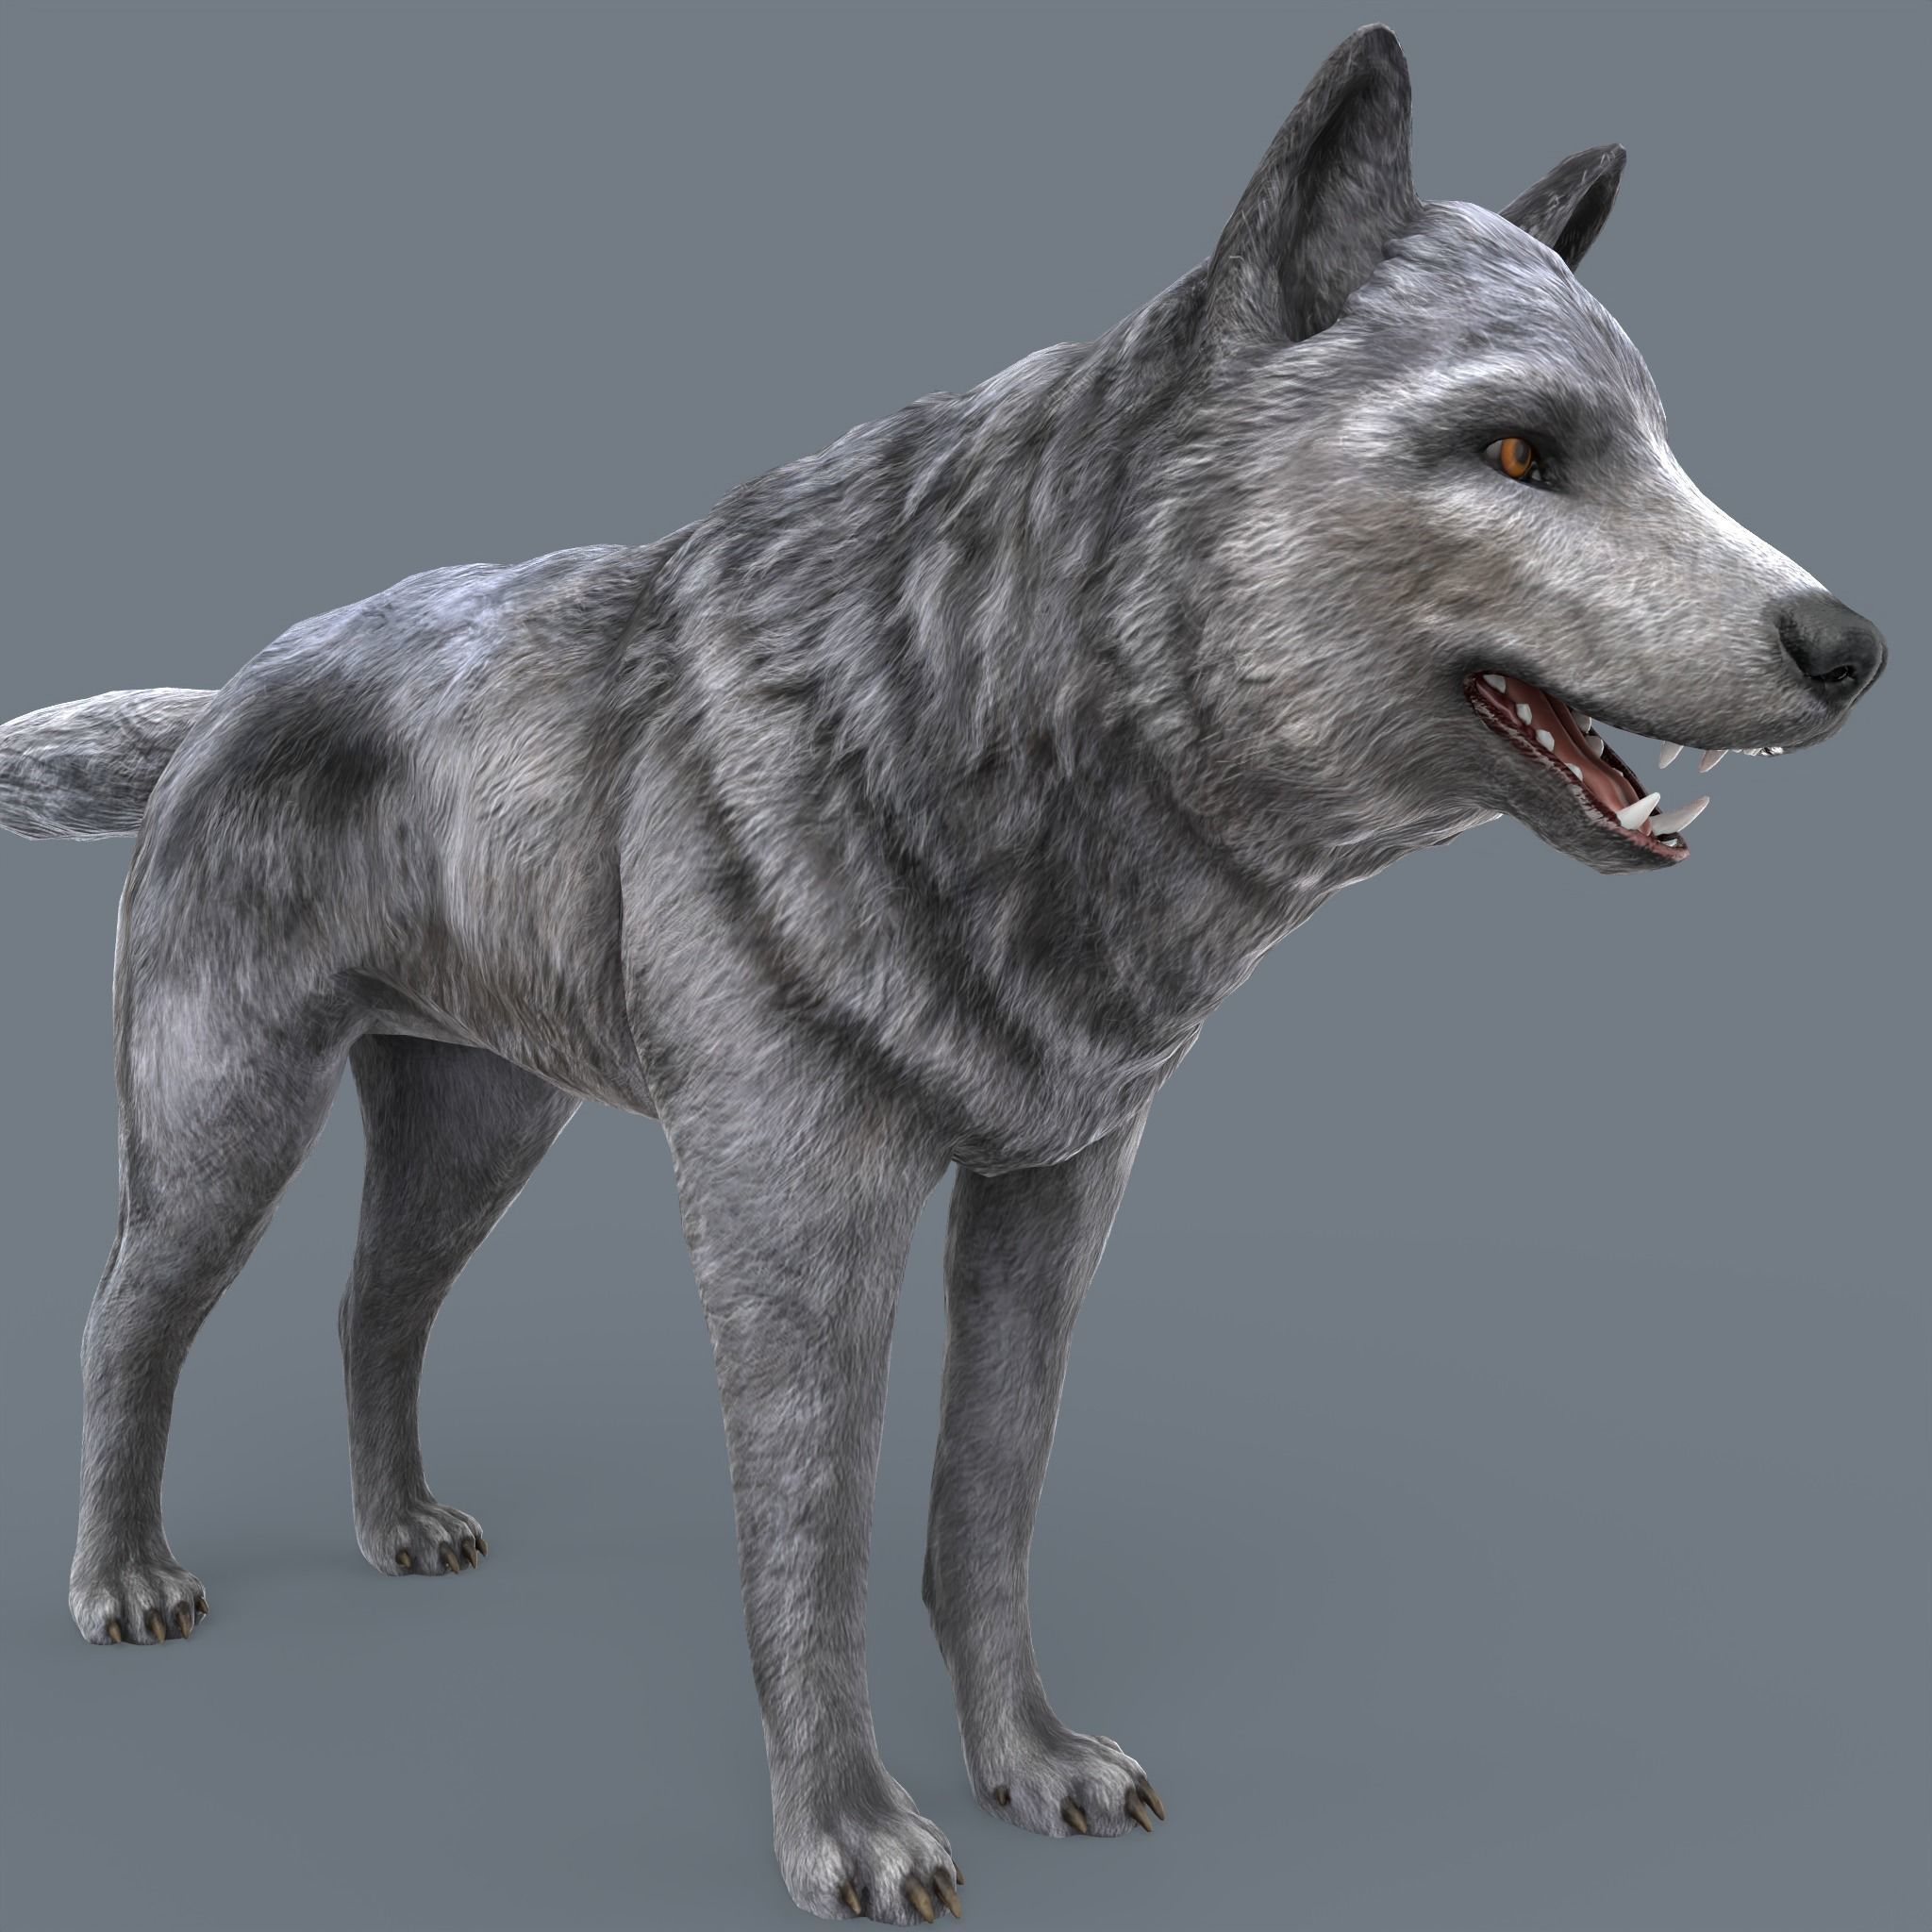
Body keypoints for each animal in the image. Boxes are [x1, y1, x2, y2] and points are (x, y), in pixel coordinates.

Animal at [0, 22, 1886, 1925]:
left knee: (370, 1309)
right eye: (1517, 449)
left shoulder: (1056, 1193)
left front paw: (1031, 1766)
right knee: (125, 1323)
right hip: (229, 1131)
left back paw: (398, 1531)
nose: (1852, 644)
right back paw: (124, 1581)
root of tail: (224, 695)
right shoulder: (795, 1217)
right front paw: (848, 1833)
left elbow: (986, 1504)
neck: (992, 727)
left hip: (481, 1134)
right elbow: (813, 1538)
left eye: (1660, 446)